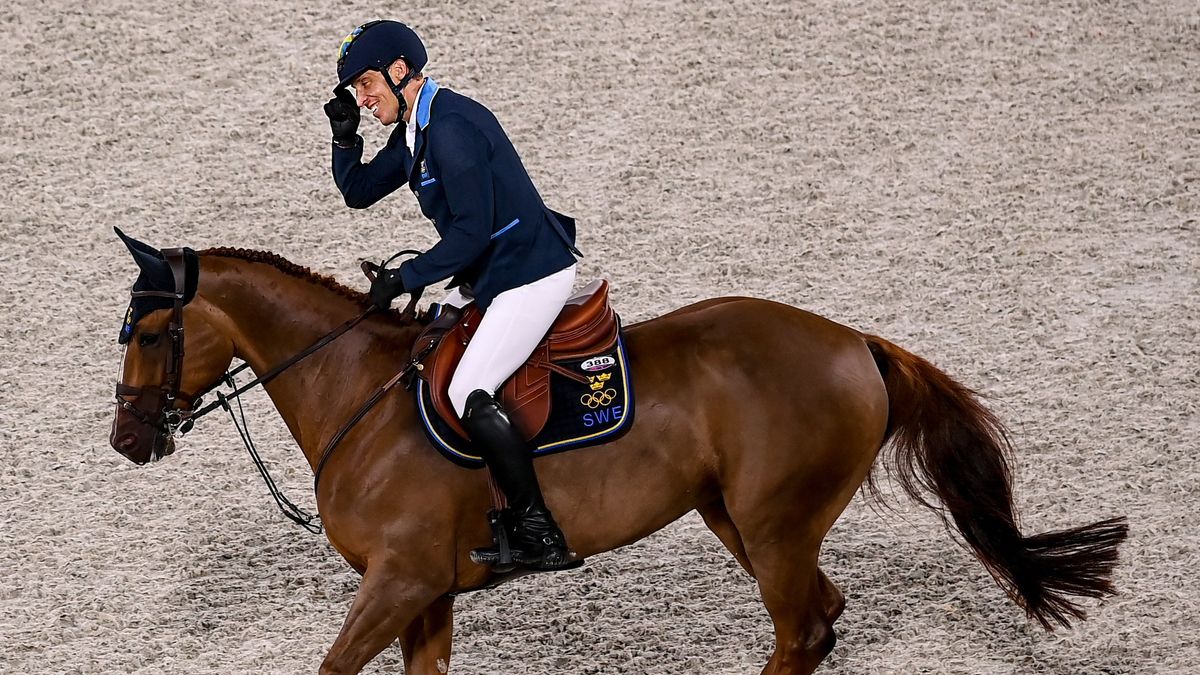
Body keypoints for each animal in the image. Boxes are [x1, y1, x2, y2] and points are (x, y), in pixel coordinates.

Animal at [108, 240, 1128, 672]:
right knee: (823, 619)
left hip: (775, 525)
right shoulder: (424, 590)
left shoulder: (399, 579)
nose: (127, 440)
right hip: (741, 519)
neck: (355, 390)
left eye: (153, 331)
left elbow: (331, 666)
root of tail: (855, 342)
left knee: (801, 630)